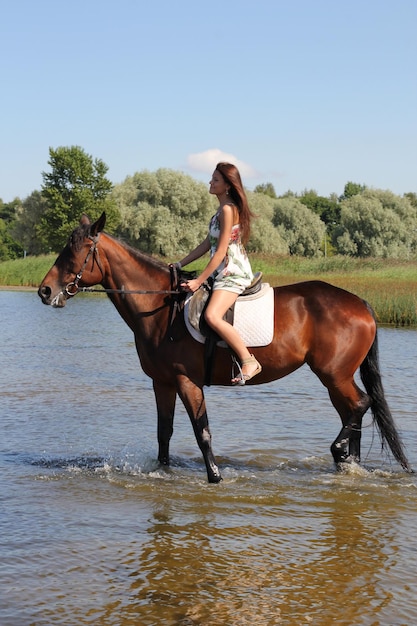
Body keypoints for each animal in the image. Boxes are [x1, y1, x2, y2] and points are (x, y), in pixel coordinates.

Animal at [38, 212, 410, 480]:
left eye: (76, 252)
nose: (44, 291)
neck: (160, 306)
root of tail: (360, 303)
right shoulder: (162, 382)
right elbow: (163, 433)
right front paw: (163, 472)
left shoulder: (187, 381)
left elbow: (202, 431)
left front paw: (215, 477)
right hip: (335, 378)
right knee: (353, 411)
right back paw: (347, 463)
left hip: (334, 374)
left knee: (360, 404)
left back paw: (339, 450)